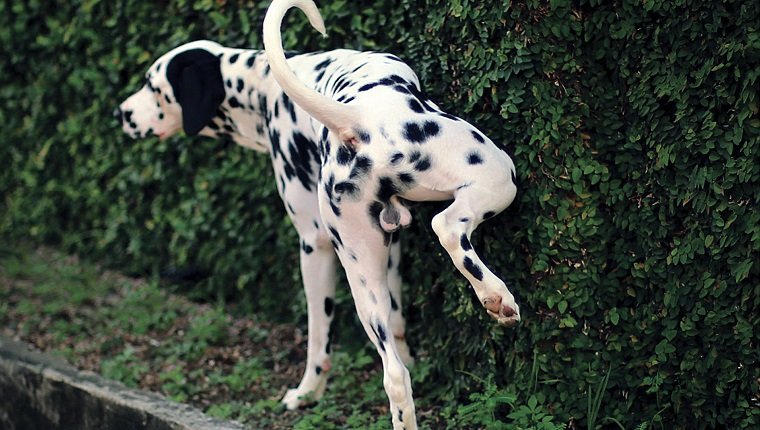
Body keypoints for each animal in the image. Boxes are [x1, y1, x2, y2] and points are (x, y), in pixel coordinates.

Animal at [114, 39, 416, 406]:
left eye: (152, 85)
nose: (119, 113)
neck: (261, 86)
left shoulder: (314, 243)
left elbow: (318, 338)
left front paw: (307, 392)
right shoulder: (392, 242)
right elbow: (398, 324)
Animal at [264, 0, 520, 426]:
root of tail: (358, 122)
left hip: (365, 280)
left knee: (394, 375)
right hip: (497, 173)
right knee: (447, 227)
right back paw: (495, 297)